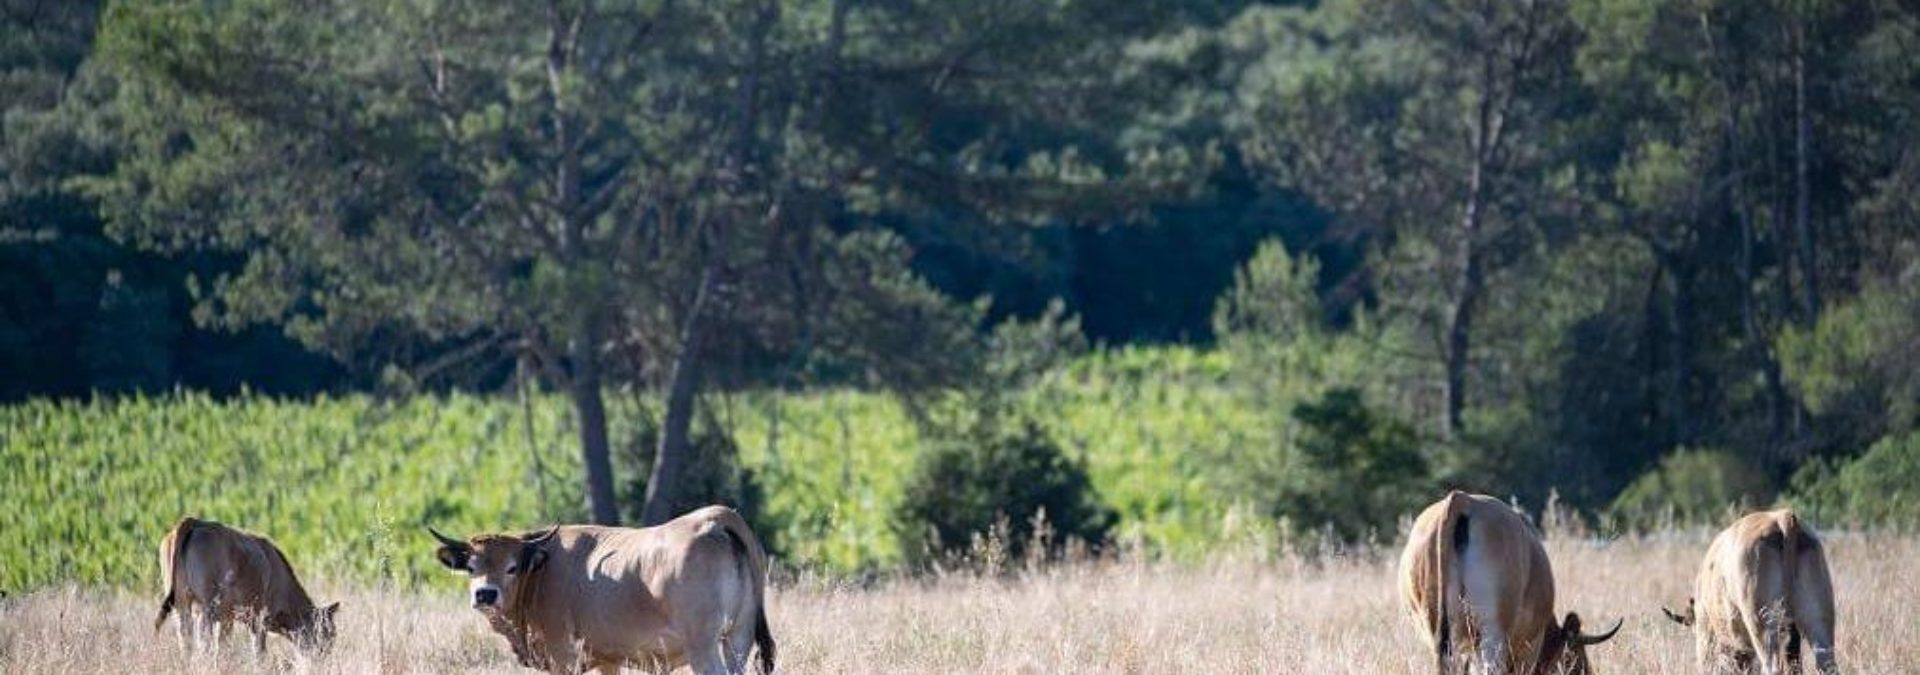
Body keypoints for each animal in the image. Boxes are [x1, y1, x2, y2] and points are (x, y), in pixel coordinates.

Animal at [156, 517, 341, 651]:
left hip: (182, 605)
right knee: (203, 643)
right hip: (206, 607)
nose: (325, 656)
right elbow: (257, 653)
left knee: (185, 640)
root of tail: (194, 521)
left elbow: (224, 647)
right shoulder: (259, 621)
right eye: (329, 634)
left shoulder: (228, 618)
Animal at [432, 506, 775, 675]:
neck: (543, 569)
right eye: (471, 567)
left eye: (512, 567)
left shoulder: (563, 657)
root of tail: (717, 519)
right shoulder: (608, 659)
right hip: (738, 639)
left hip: (703, 647)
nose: (485, 594)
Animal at [1658, 510, 1835, 675]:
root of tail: (1781, 517)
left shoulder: (1705, 631)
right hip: (1818, 624)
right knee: (1827, 665)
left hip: (1763, 626)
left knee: (1771, 667)